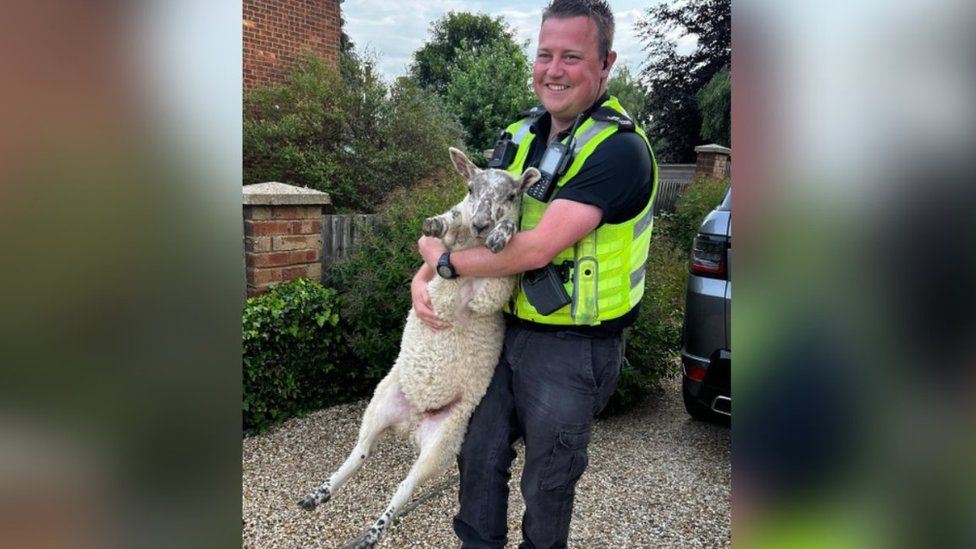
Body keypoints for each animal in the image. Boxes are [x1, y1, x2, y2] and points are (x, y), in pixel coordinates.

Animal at [298, 147, 540, 548]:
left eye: (511, 195)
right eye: (470, 188)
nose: (482, 224)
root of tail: (410, 424)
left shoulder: (490, 295)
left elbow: (506, 255)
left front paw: (502, 234)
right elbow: (450, 223)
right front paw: (436, 225)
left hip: (444, 441)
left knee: (405, 485)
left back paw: (372, 531)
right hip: (381, 402)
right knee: (360, 452)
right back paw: (318, 494)